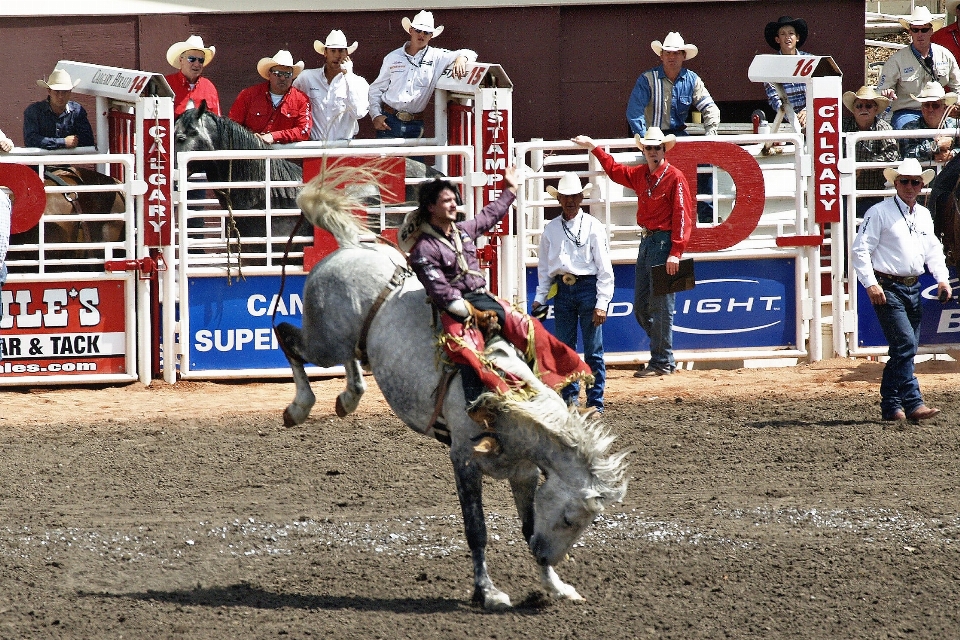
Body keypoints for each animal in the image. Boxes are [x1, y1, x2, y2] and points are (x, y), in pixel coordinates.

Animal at [276, 170, 632, 608]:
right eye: (569, 518)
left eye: (583, 524)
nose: (544, 553)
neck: (510, 403)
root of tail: (348, 247)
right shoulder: (463, 459)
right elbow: (476, 529)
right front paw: (488, 592)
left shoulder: (524, 472)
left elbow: (527, 522)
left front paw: (555, 585)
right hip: (323, 340)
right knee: (288, 336)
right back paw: (300, 406)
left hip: (347, 342)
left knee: (348, 358)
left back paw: (348, 397)